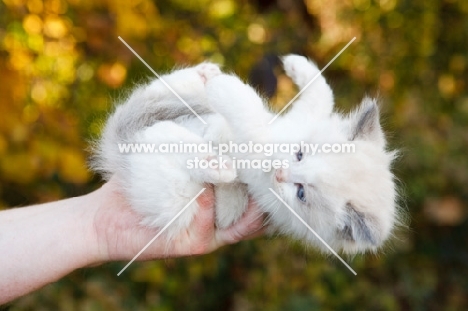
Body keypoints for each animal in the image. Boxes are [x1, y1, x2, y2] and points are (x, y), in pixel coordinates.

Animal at [92, 55, 398, 256]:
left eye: (301, 193)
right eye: (300, 154)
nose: (280, 173)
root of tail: (126, 146)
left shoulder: (259, 151)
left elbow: (249, 115)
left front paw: (225, 89)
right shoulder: (299, 118)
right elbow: (322, 93)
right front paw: (297, 64)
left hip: (176, 201)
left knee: (167, 142)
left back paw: (217, 165)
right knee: (161, 97)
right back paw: (204, 74)